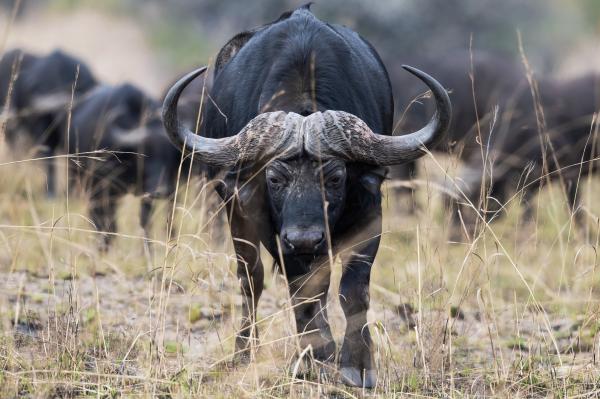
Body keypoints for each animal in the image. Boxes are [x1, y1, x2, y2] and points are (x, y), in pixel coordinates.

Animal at [67, 83, 180, 248]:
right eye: (144, 157)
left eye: (171, 158)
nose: (161, 191)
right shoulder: (100, 190)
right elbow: (106, 225)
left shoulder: (148, 195)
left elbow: (146, 223)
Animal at [162, 4, 452, 390]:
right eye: (274, 178)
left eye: (335, 177)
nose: (304, 238)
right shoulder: (271, 228)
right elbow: (301, 291)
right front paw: (315, 355)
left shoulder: (369, 214)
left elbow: (351, 289)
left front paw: (356, 365)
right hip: (235, 214)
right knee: (251, 280)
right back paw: (245, 353)